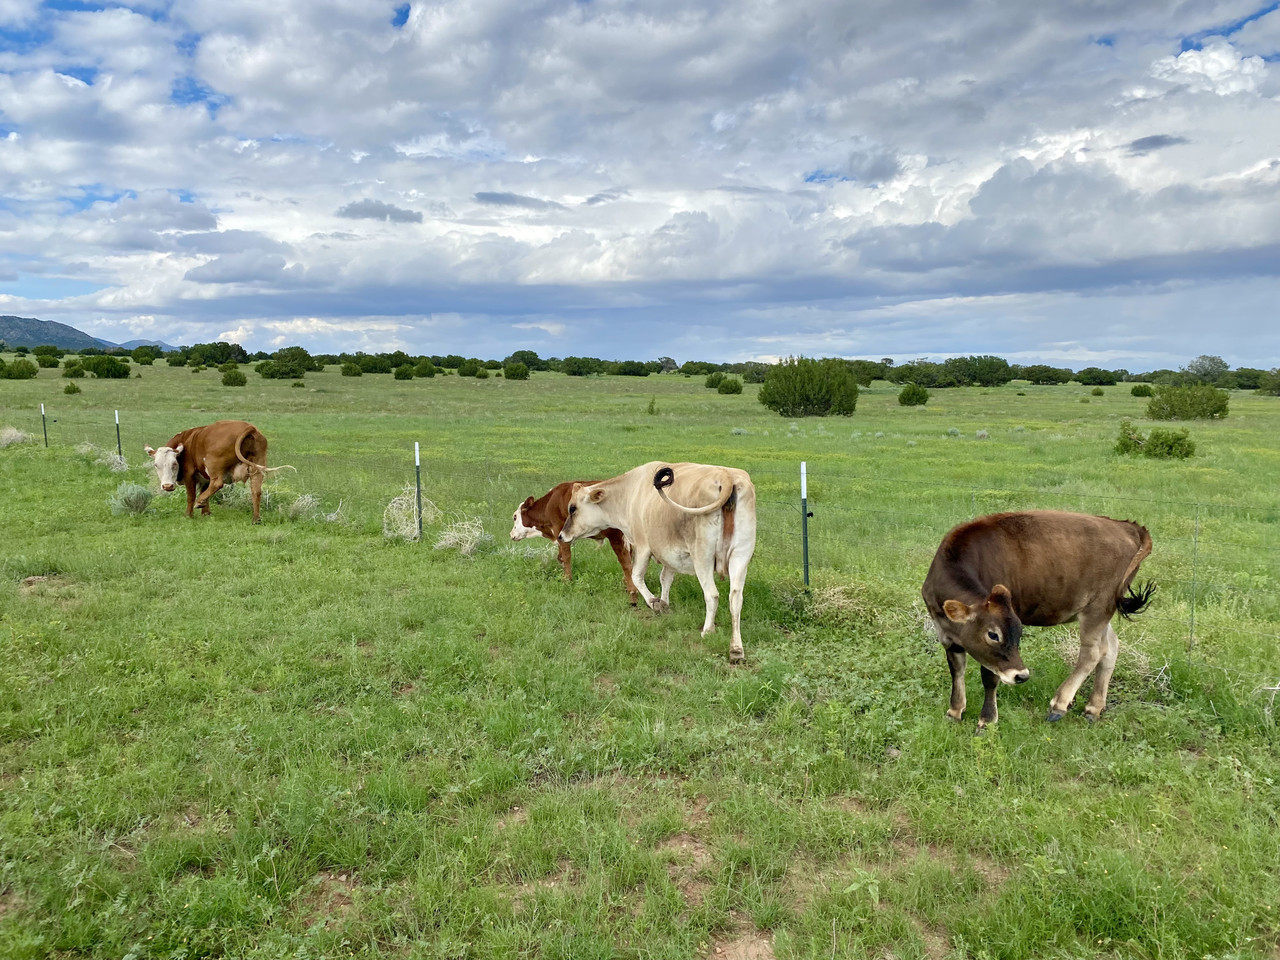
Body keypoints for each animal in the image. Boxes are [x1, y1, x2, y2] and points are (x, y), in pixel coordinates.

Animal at [144, 419, 291, 527]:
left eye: (174, 464)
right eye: (156, 465)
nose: (167, 486)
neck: (187, 442)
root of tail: (248, 427)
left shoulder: (189, 473)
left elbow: (191, 495)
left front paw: (189, 514)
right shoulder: (204, 477)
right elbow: (205, 490)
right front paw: (206, 512)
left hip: (214, 466)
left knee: (217, 483)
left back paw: (199, 501)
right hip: (256, 469)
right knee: (256, 491)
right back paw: (256, 519)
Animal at [509, 483, 640, 604]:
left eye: (515, 517)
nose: (511, 534)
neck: (549, 503)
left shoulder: (559, 528)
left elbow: (566, 556)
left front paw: (567, 579)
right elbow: (560, 556)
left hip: (616, 536)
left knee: (625, 561)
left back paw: (632, 592)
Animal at [555, 463, 752, 660]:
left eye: (572, 508)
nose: (561, 536)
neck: (630, 492)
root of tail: (725, 475)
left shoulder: (643, 546)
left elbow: (636, 576)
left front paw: (654, 603)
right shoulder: (669, 553)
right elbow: (665, 578)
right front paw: (664, 603)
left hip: (702, 556)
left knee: (712, 594)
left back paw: (708, 631)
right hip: (741, 555)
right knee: (735, 597)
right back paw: (736, 648)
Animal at [926, 512, 1157, 727]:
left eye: (1019, 633)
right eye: (993, 634)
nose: (1022, 676)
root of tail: (1127, 527)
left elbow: (989, 676)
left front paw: (987, 720)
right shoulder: (946, 635)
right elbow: (957, 670)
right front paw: (955, 711)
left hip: (1098, 607)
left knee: (1093, 652)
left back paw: (1060, 704)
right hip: (1104, 610)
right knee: (1111, 647)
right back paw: (1094, 707)